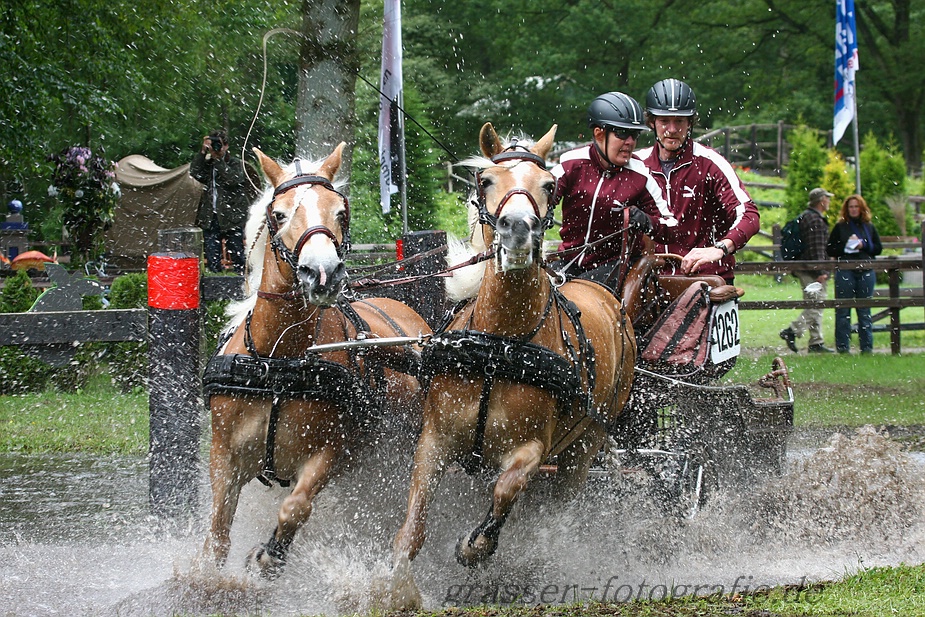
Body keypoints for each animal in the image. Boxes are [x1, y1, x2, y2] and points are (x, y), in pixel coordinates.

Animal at [200, 144, 432, 576]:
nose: (322, 274)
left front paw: (269, 555)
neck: (278, 363)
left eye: (340, 211)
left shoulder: (328, 453)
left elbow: (295, 508)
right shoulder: (224, 455)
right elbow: (218, 531)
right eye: (278, 214)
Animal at [386, 121, 640, 608]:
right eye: (486, 181)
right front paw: (393, 589)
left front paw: (477, 545)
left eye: (549, 185)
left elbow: (507, 489)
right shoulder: (434, 439)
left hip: (586, 443)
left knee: (557, 504)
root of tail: (605, 294)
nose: (518, 229)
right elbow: (412, 527)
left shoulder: (532, 448)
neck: (499, 348)